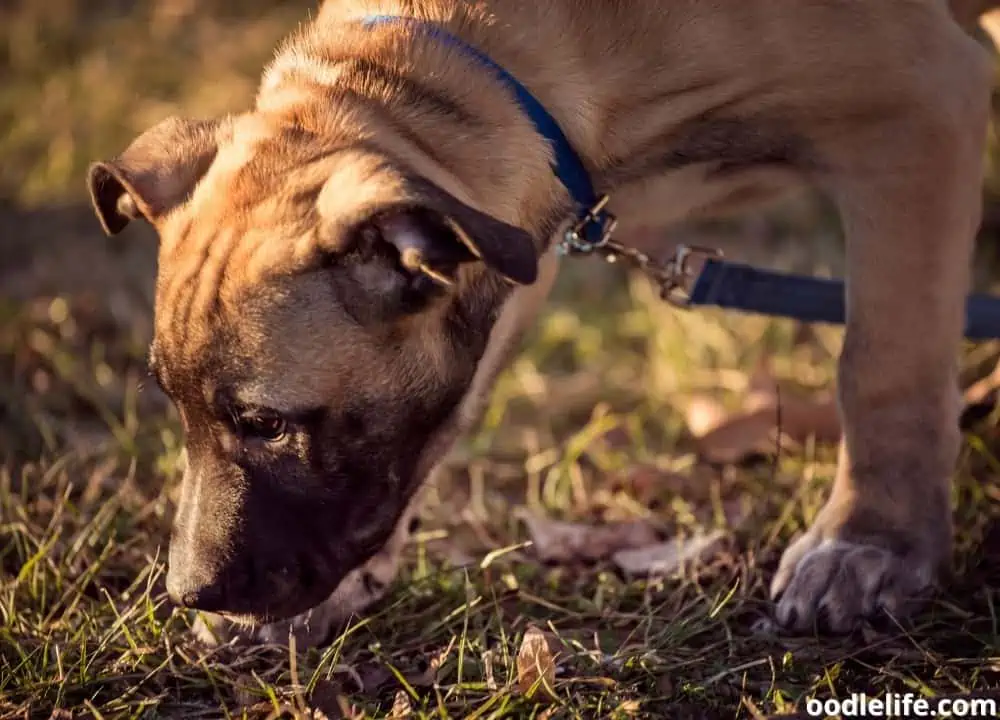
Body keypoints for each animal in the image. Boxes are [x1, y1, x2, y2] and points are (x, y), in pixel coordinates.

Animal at [88, 0, 1000, 644]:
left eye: (269, 423)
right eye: (172, 405)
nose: (188, 593)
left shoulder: (918, 108)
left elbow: (885, 359)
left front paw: (872, 542)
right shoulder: (523, 234)